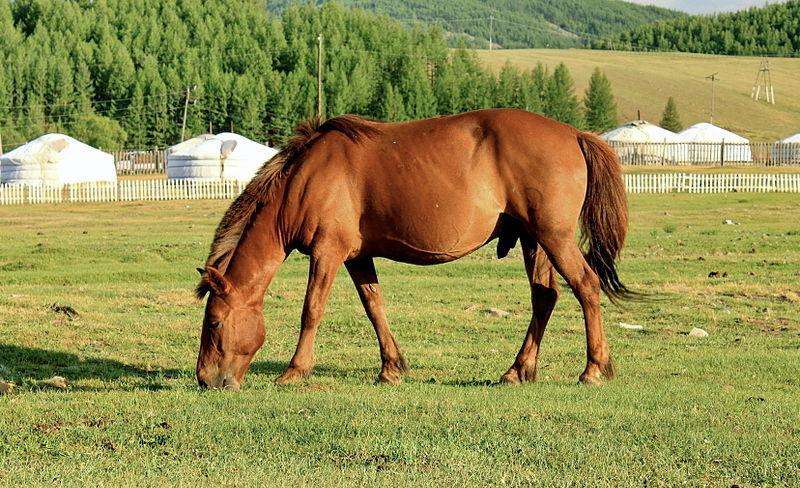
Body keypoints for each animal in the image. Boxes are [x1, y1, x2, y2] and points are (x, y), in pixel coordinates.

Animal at [195, 108, 632, 390]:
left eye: (213, 323)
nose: (205, 379)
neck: (305, 178)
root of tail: (574, 134)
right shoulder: (357, 257)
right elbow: (374, 307)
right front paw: (391, 368)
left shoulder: (327, 253)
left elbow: (311, 310)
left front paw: (295, 370)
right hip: (533, 240)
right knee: (544, 297)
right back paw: (518, 370)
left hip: (554, 237)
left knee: (586, 286)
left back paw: (593, 369)